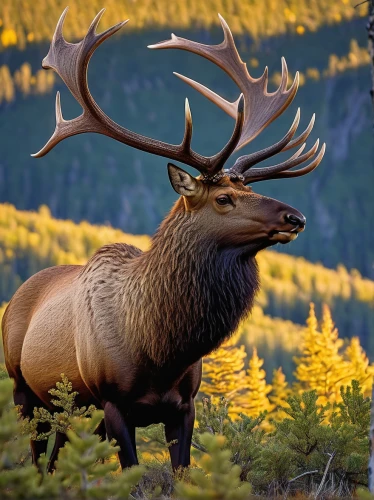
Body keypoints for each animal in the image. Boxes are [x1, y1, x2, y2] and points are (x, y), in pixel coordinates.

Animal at [2, 8, 324, 472]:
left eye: (247, 189)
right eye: (224, 198)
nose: (295, 217)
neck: (160, 349)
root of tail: (16, 298)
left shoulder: (183, 405)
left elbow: (183, 471)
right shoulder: (113, 403)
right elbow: (131, 473)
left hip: (71, 411)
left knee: (55, 461)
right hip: (24, 389)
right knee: (34, 456)